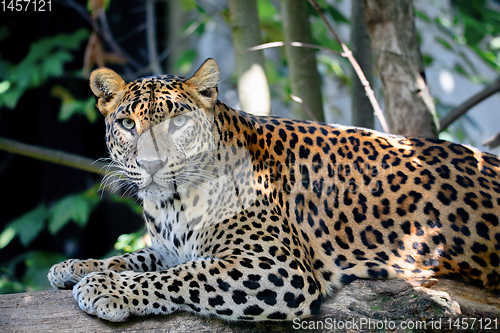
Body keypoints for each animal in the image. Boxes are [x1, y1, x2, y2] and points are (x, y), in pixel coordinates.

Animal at [48, 57, 500, 322]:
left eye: (178, 123)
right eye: (127, 124)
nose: (152, 165)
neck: (172, 205)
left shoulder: (276, 267)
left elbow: (182, 275)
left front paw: (104, 289)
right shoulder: (168, 246)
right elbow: (137, 258)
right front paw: (77, 267)